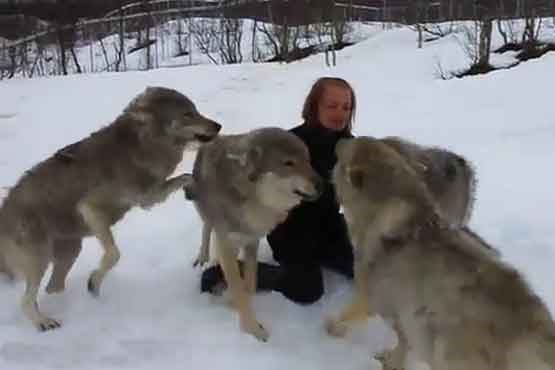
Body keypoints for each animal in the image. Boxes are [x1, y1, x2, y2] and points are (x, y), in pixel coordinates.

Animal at [0, 87, 222, 332]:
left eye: (195, 110)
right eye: (187, 114)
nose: (218, 126)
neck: (142, 145)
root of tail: (4, 210)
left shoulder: (148, 198)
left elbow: (186, 176)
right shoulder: (90, 208)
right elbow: (114, 253)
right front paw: (94, 283)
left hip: (69, 252)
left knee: (52, 288)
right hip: (40, 260)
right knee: (26, 300)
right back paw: (44, 322)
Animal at [326, 137, 555, 370]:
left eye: (344, 154)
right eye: (369, 139)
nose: (341, 139)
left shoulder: (376, 298)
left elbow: (352, 318)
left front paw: (331, 330)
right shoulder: (407, 316)